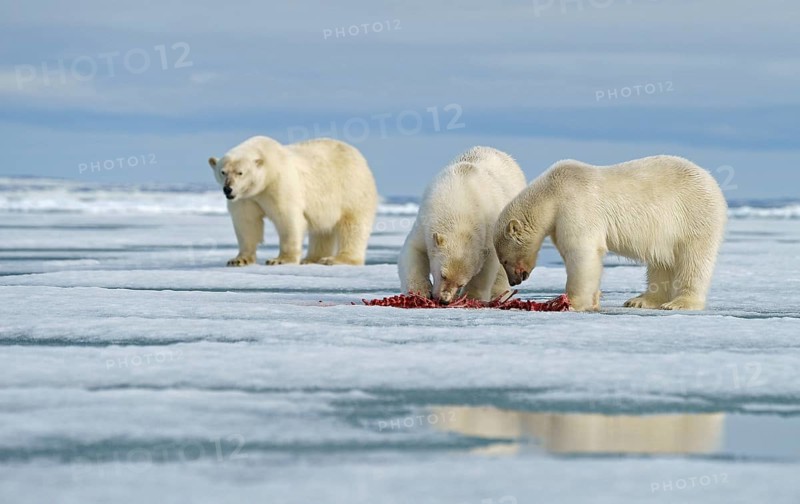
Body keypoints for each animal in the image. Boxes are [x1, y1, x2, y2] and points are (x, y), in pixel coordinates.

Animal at [208, 136, 378, 266]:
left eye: (240, 172)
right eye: (223, 172)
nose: (228, 189)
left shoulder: (280, 184)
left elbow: (287, 219)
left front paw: (279, 260)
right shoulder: (245, 198)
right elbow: (247, 223)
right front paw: (238, 260)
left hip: (351, 190)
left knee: (352, 225)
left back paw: (336, 259)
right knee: (322, 230)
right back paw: (311, 259)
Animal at [398, 146, 527, 303]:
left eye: (461, 283)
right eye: (443, 275)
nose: (444, 300)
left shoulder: (489, 230)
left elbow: (488, 266)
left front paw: (473, 297)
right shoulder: (425, 221)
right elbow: (415, 249)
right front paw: (419, 291)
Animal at [494, 155, 728, 311]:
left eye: (504, 260)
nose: (514, 281)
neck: (552, 192)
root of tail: (711, 181)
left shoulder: (575, 205)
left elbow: (582, 252)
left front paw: (573, 302)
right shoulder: (558, 221)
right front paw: (595, 300)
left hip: (693, 216)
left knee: (693, 260)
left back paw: (679, 303)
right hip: (666, 230)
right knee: (661, 262)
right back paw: (641, 300)